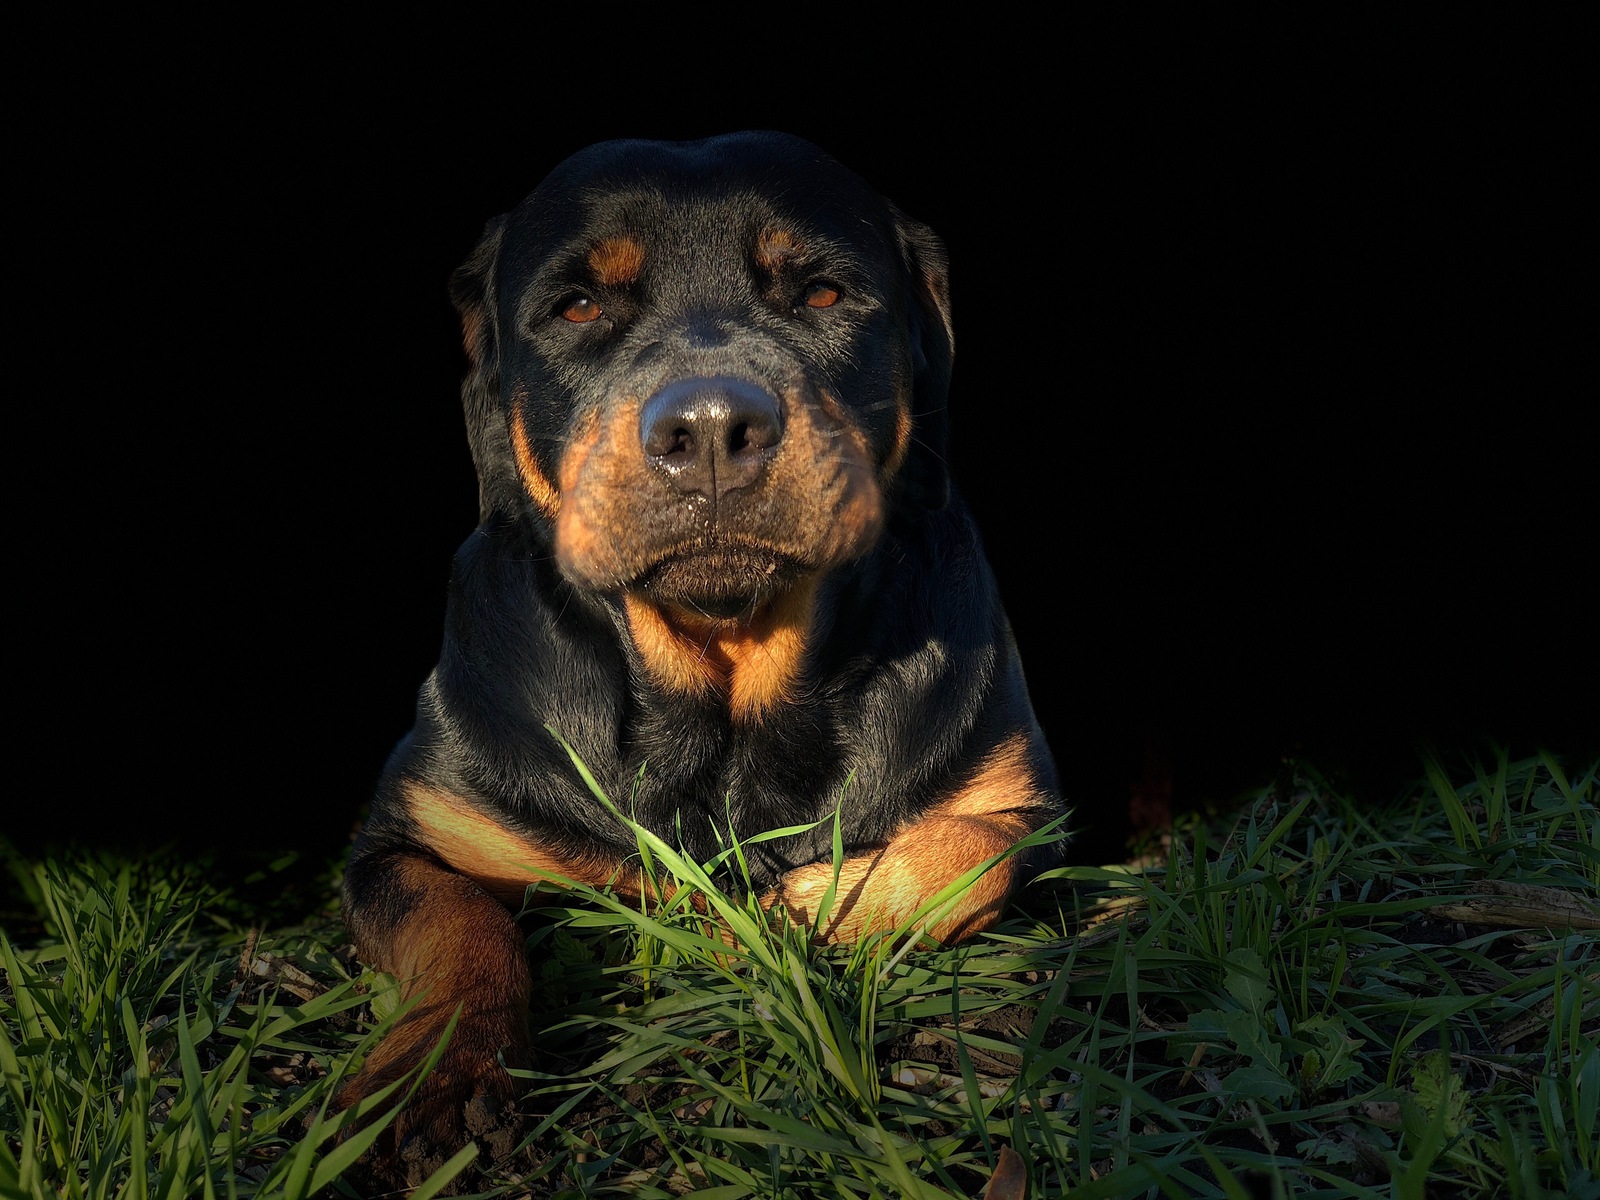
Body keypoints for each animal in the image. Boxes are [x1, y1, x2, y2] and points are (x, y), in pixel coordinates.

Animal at [337, 129, 1062, 1177]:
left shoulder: (1017, 797)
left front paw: (794, 906)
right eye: (578, 306)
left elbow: (973, 852)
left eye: (823, 294)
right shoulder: (418, 829)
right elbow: (453, 919)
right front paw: (435, 1070)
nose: (713, 426)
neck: (722, 702)